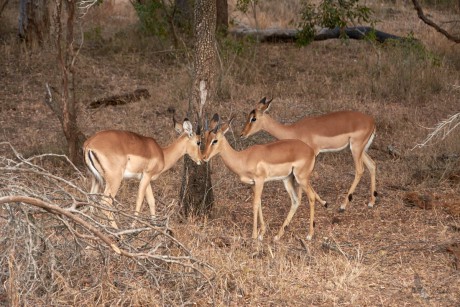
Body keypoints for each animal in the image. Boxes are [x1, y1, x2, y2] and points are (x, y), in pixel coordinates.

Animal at [203, 114, 322, 242]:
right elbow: (259, 203)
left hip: (301, 178)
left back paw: (309, 235)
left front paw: (254, 235)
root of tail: (311, 151)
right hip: (287, 179)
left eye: (215, 140)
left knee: (311, 196)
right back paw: (277, 236)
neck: (243, 158)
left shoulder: (260, 181)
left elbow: (255, 204)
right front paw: (261, 233)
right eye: (205, 138)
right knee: (295, 201)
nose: (204, 157)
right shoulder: (253, 184)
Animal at [241, 97, 378, 213]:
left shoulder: (310, 156)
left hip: (356, 149)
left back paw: (343, 206)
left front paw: (320, 202)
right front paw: (322, 202)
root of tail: (371, 121)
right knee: (372, 164)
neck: (294, 130)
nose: (242, 134)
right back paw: (371, 202)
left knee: (360, 170)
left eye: (253, 118)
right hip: (359, 150)